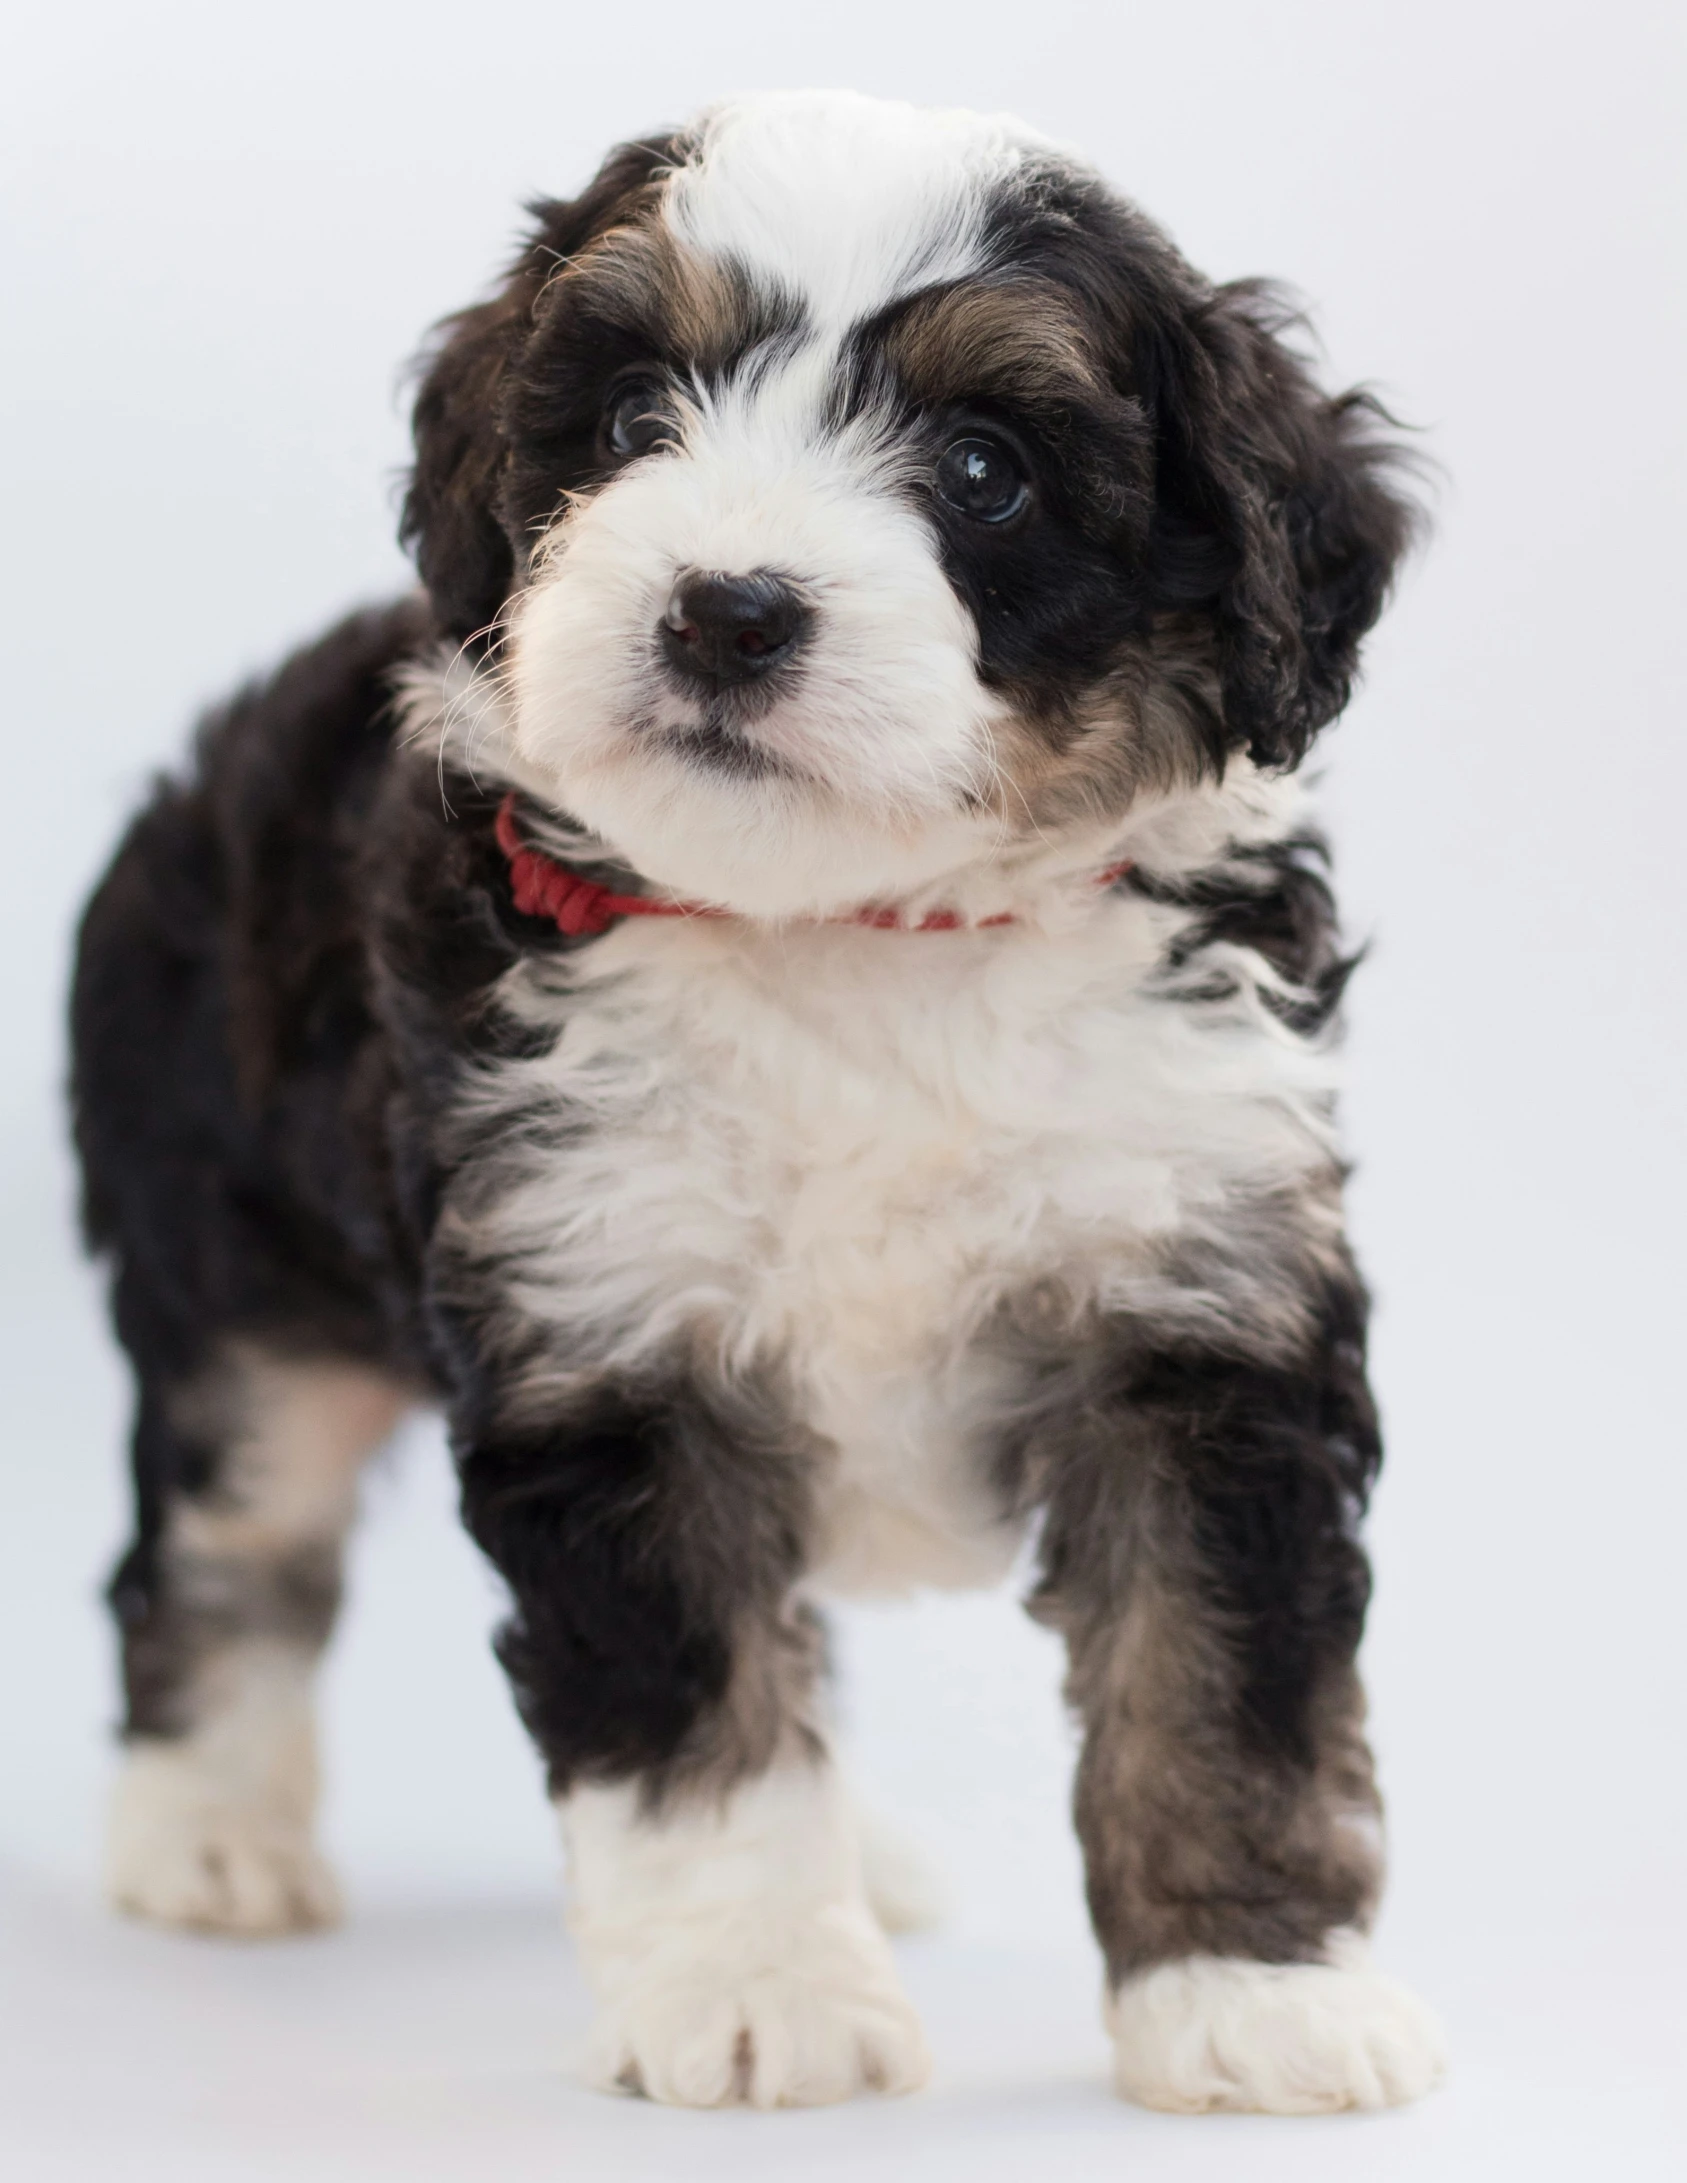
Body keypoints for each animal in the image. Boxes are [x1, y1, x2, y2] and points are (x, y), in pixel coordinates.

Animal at [75, 89, 1449, 2113]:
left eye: (981, 467)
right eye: (630, 419)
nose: (723, 611)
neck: (860, 929)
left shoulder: (1201, 1302)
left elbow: (1221, 1676)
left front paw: (1251, 1992)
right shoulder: (608, 1326)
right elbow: (695, 1713)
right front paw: (753, 1989)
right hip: (235, 1274)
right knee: (225, 1535)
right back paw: (208, 1831)